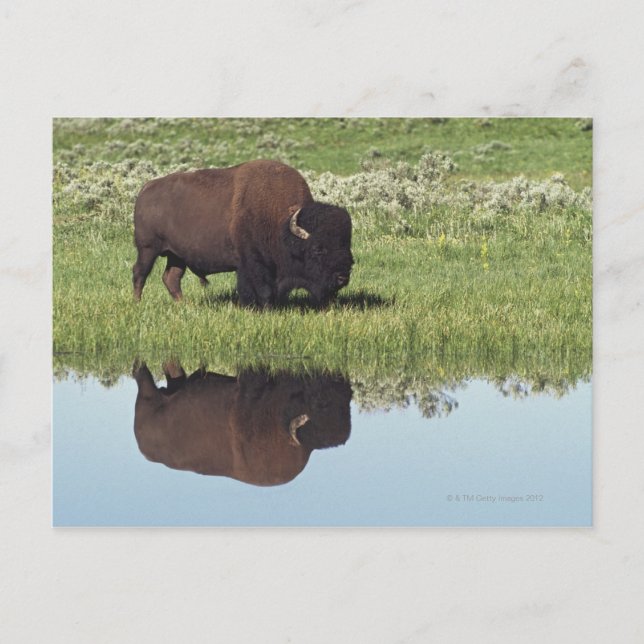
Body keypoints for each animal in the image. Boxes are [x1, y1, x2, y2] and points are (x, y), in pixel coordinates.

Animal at [132, 159, 353, 307]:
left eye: (346, 245)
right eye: (318, 249)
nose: (343, 277)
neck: (281, 223)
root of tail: (146, 188)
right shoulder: (251, 264)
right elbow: (261, 290)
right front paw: (262, 308)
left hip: (177, 256)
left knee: (171, 278)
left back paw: (184, 304)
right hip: (148, 249)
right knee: (139, 273)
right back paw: (137, 303)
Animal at [133, 363, 352, 486]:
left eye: (347, 398)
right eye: (320, 402)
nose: (341, 379)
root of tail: (143, 448)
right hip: (148, 393)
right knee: (140, 374)